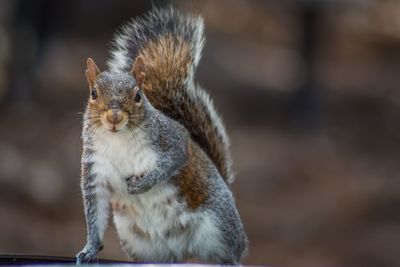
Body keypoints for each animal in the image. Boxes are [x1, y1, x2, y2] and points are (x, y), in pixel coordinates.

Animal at [76, 6, 247, 266]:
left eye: (137, 95)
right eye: (94, 93)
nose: (114, 116)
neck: (119, 140)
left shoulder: (172, 140)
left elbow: (171, 162)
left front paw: (144, 183)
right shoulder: (95, 169)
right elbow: (94, 213)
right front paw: (90, 250)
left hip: (220, 227)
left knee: (230, 253)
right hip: (138, 242)